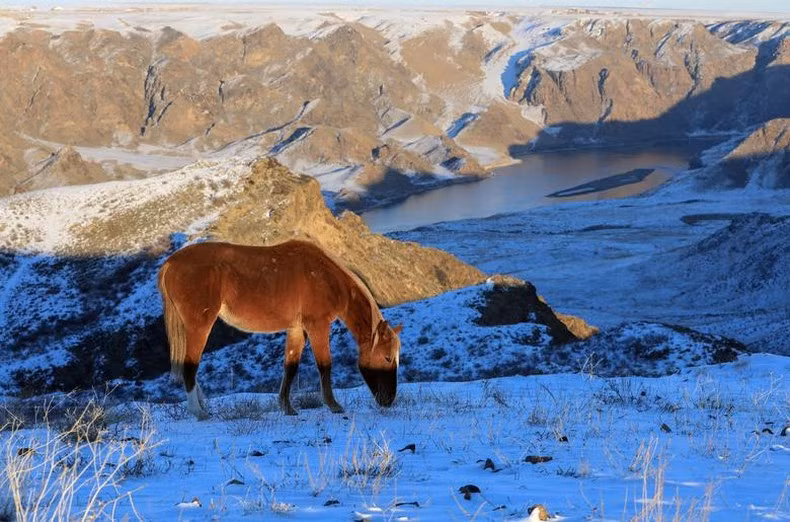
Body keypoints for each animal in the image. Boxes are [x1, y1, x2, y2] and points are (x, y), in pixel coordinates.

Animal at [157, 239, 402, 420]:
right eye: (387, 357)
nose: (389, 400)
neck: (325, 276)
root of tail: (171, 263)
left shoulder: (296, 330)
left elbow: (290, 367)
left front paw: (287, 407)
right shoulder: (318, 326)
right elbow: (325, 365)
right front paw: (333, 405)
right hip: (199, 326)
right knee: (190, 367)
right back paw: (199, 412)